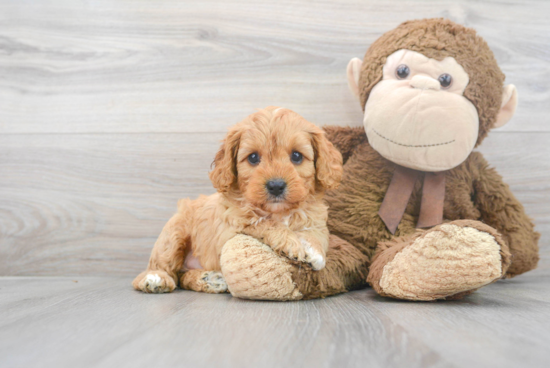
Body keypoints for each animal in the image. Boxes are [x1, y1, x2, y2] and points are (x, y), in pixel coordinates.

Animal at [132, 105, 342, 294]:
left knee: (182, 277)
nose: (276, 186)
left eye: (297, 156)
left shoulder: (317, 218)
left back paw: (209, 279)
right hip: (174, 234)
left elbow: (320, 234)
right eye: (253, 158)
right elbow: (262, 222)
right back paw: (156, 278)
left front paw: (314, 250)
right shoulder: (232, 225)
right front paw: (290, 242)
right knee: (163, 268)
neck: (279, 212)